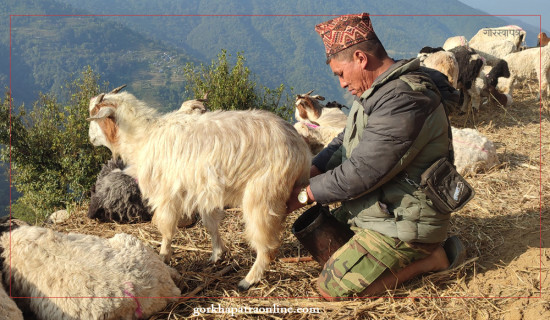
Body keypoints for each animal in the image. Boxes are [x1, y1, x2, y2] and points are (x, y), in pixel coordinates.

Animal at [85, 87, 310, 290]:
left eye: (93, 115)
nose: (90, 139)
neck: (143, 137)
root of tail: (300, 148)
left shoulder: (167, 194)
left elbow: (166, 228)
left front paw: (164, 256)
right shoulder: (204, 191)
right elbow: (211, 224)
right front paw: (217, 254)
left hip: (262, 194)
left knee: (268, 245)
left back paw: (248, 280)